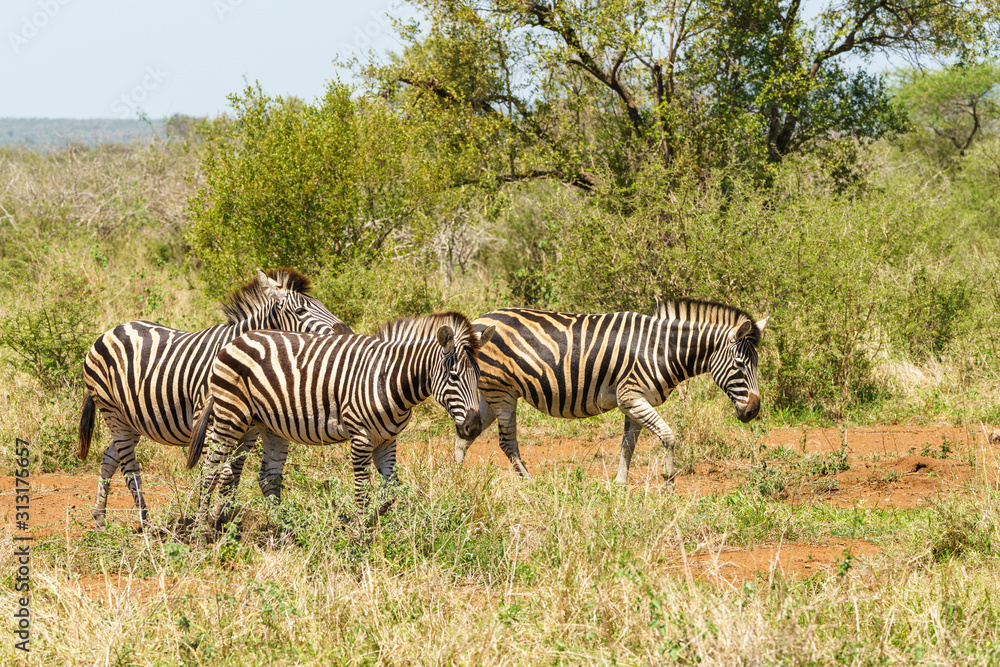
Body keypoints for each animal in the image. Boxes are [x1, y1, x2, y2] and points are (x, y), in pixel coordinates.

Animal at [78, 268, 352, 528]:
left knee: (110, 457)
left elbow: (232, 474)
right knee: (129, 467)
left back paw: (100, 519)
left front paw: (221, 520)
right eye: (300, 310)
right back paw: (145, 522)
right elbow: (215, 470)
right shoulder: (209, 420)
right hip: (113, 413)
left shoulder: (251, 429)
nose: (345, 331)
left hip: (133, 418)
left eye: (322, 304)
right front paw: (209, 521)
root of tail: (112, 330)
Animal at [185, 312, 494, 529]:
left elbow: (390, 492)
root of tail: (232, 342)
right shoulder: (360, 437)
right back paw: (202, 530)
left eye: (479, 376)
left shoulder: (387, 441)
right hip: (230, 416)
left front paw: (370, 521)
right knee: (210, 470)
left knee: (259, 476)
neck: (389, 377)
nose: (473, 427)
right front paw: (359, 534)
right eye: (453, 376)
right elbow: (362, 492)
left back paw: (280, 528)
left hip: (259, 425)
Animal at [453, 297, 767, 484]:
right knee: (506, 442)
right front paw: (668, 479)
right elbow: (668, 435)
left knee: (465, 434)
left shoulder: (634, 400)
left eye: (757, 363)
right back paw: (529, 483)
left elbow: (628, 444)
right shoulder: (632, 396)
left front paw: (620, 483)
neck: (661, 349)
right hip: (502, 392)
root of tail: (478, 322)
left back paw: (454, 481)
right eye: (740, 365)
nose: (753, 411)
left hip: (488, 394)